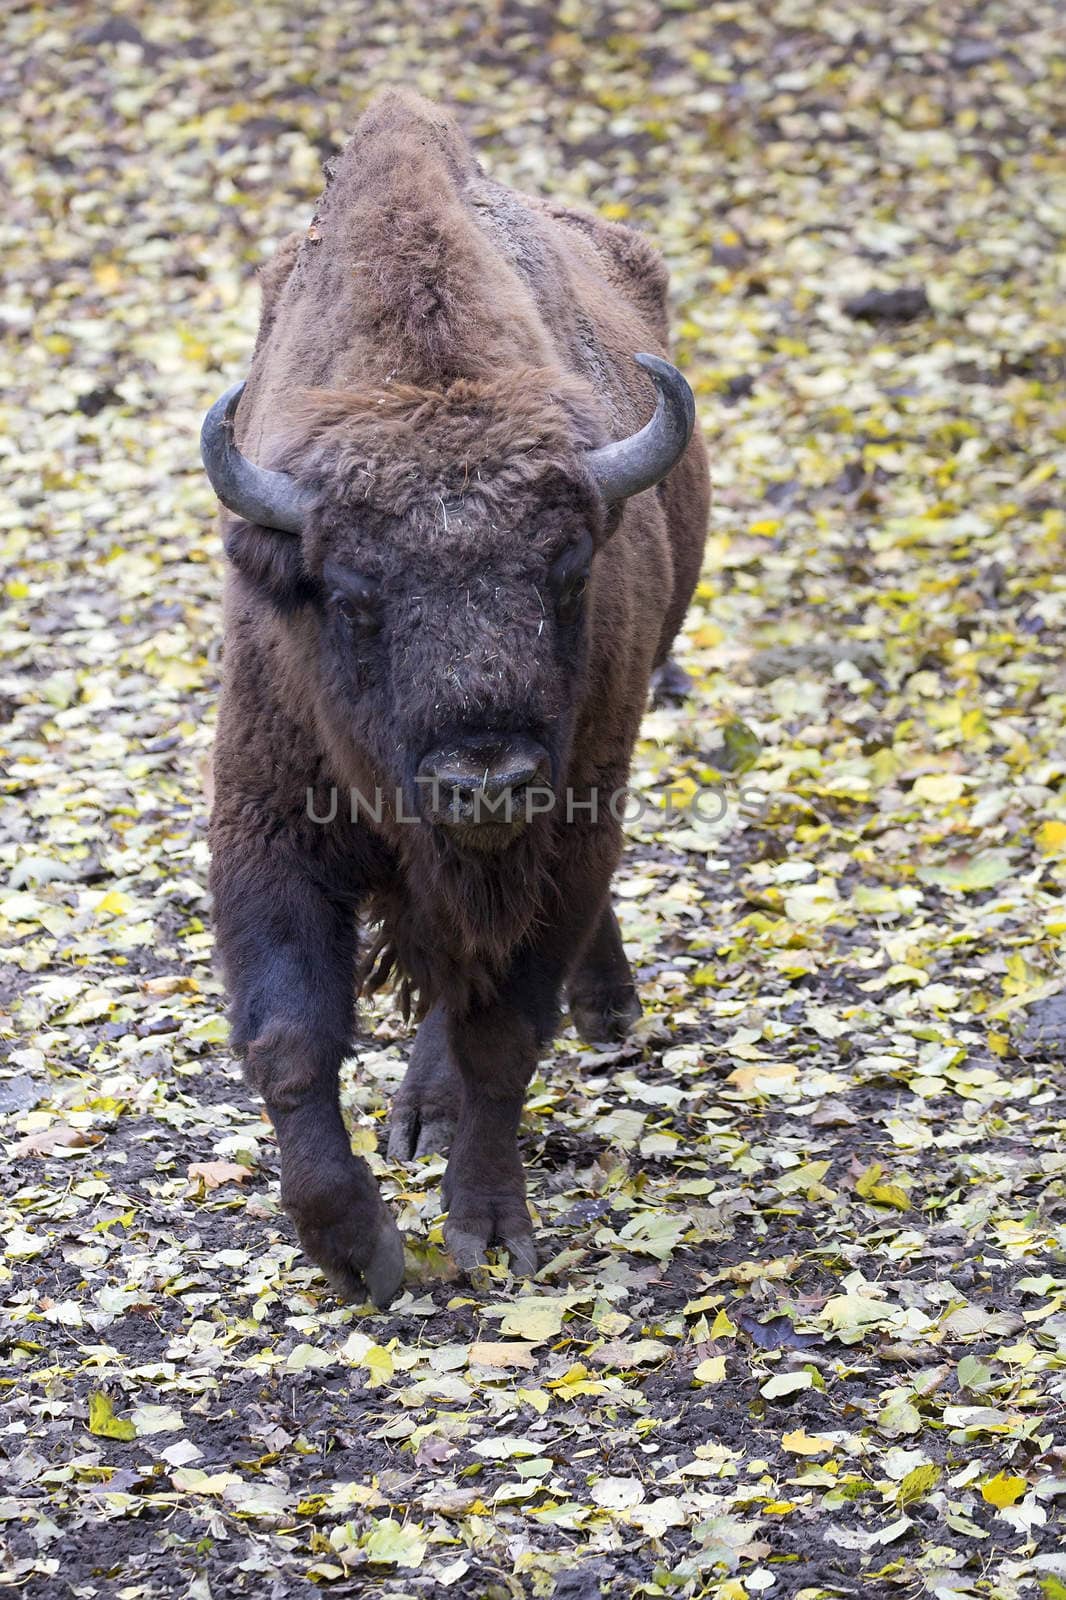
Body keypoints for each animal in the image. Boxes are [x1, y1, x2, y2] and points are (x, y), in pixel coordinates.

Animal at [203, 87, 710, 1305]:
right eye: (350, 595)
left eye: (567, 572)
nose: (484, 778)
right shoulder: (267, 822)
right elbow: (289, 1040)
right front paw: (358, 1254)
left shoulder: (566, 832)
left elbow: (501, 1037)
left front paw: (485, 1230)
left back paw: (593, 1015)